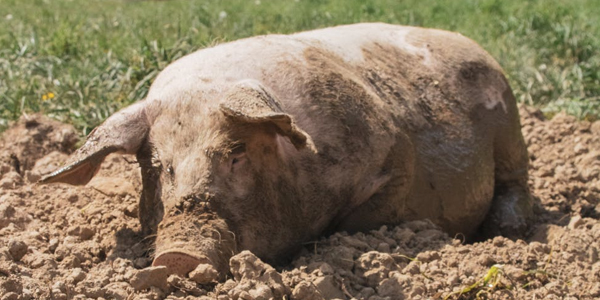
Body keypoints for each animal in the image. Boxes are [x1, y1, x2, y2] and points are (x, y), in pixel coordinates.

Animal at [42, 22, 532, 278]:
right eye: (157, 167)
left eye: (235, 153)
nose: (177, 255)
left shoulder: (396, 160)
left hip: (510, 128)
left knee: (516, 182)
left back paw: (510, 231)